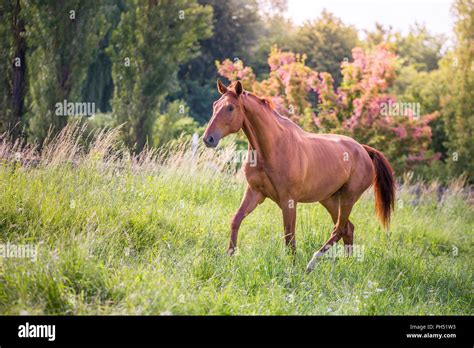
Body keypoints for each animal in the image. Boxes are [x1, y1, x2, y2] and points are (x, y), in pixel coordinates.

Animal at [202, 81, 394, 272]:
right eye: (214, 105)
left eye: (230, 108)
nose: (208, 139)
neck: (271, 149)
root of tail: (363, 149)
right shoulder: (255, 193)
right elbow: (236, 220)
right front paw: (229, 259)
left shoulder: (288, 201)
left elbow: (289, 236)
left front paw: (292, 268)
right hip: (330, 199)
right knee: (347, 228)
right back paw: (348, 265)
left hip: (348, 197)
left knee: (339, 229)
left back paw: (312, 264)